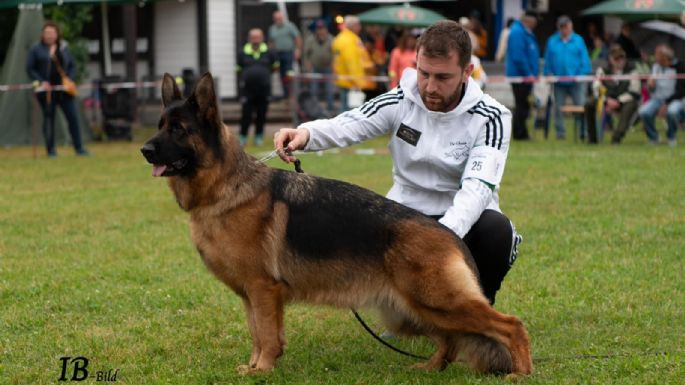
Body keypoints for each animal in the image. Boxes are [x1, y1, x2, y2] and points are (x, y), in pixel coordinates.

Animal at [140, 73, 536, 376]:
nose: (145, 150)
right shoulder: (250, 295)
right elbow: (256, 333)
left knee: (510, 325)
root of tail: (452, 238)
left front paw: (262, 370)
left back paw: (520, 373)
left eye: (179, 129)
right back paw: (431, 368)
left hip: (436, 303)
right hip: (414, 310)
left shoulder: (263, 290)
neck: (225, 187)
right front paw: (253, 367)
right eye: (160, 126)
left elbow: (266, 335)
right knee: (450, 339)